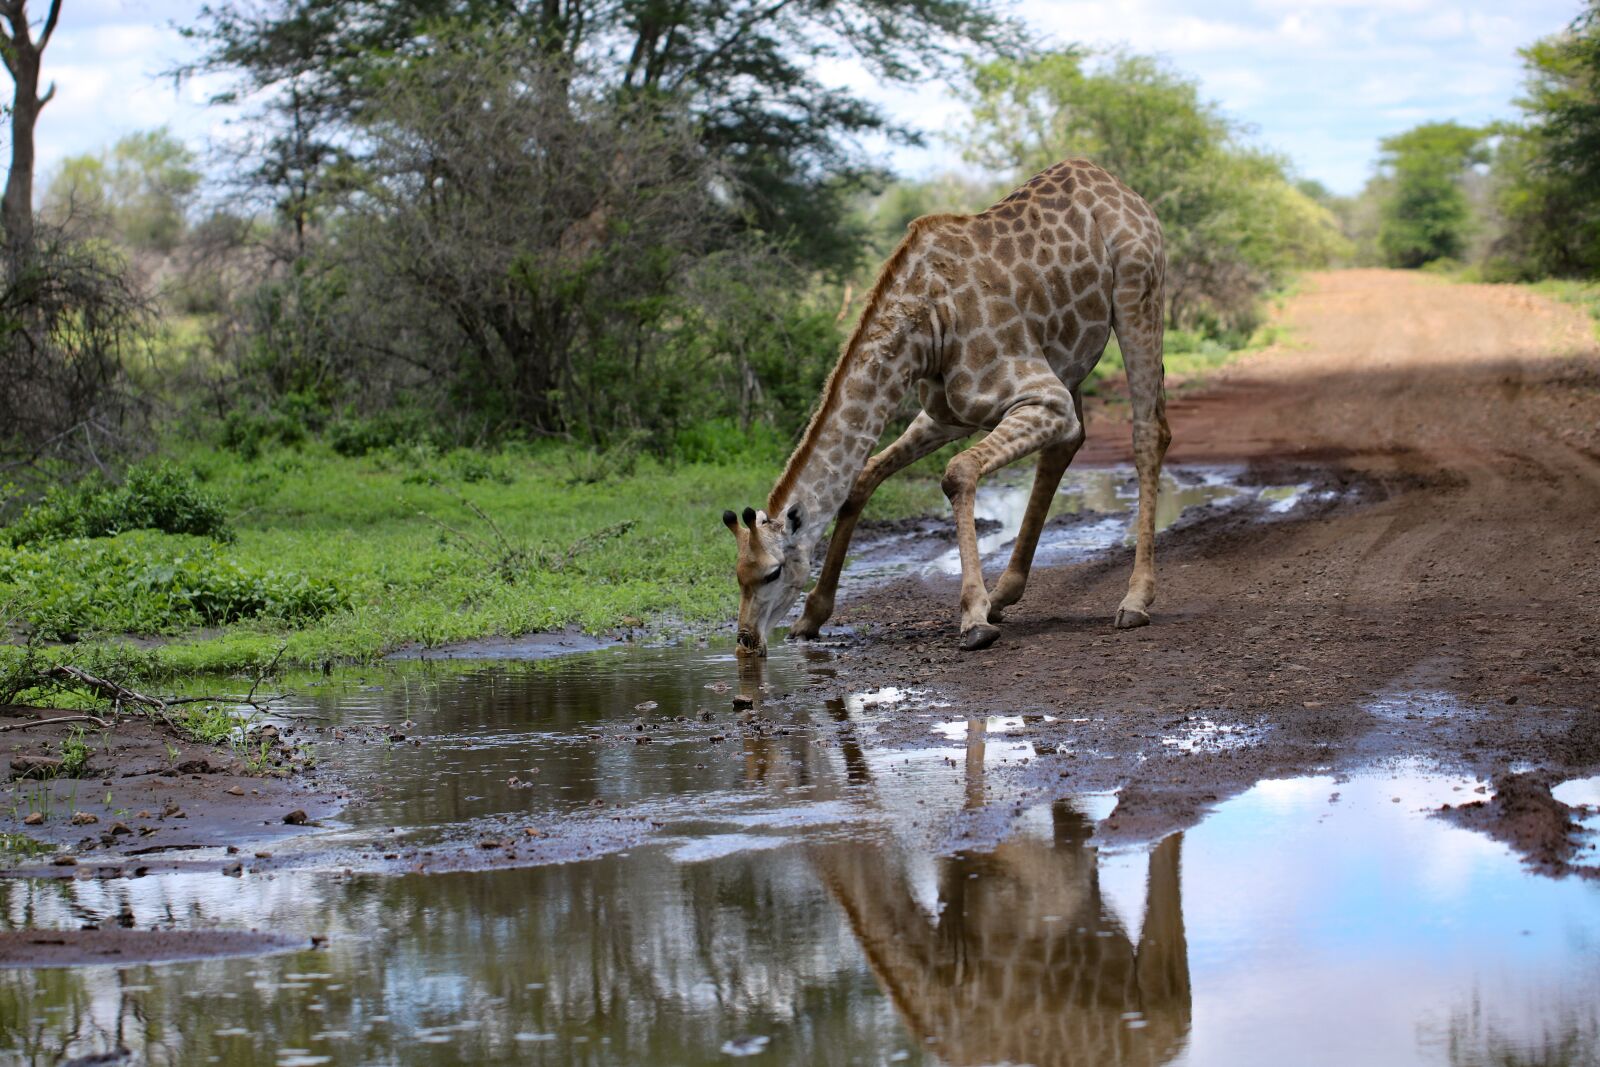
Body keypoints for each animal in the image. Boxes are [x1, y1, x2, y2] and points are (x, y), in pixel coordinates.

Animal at [723, 158, 1170, 654]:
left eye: (772, 572)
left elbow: (957, 472)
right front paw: (811, 616)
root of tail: (1118, 186)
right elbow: (864, 476)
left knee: (1148, 432)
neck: (926, 328)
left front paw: (973, 617)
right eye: (738, 575)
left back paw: (1135, 600)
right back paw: (1005, 593)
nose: (746, 639)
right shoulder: (949, 413)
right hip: (1067, 357)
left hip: (1139, 295)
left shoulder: (1043, 396)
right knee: (1070, 443)